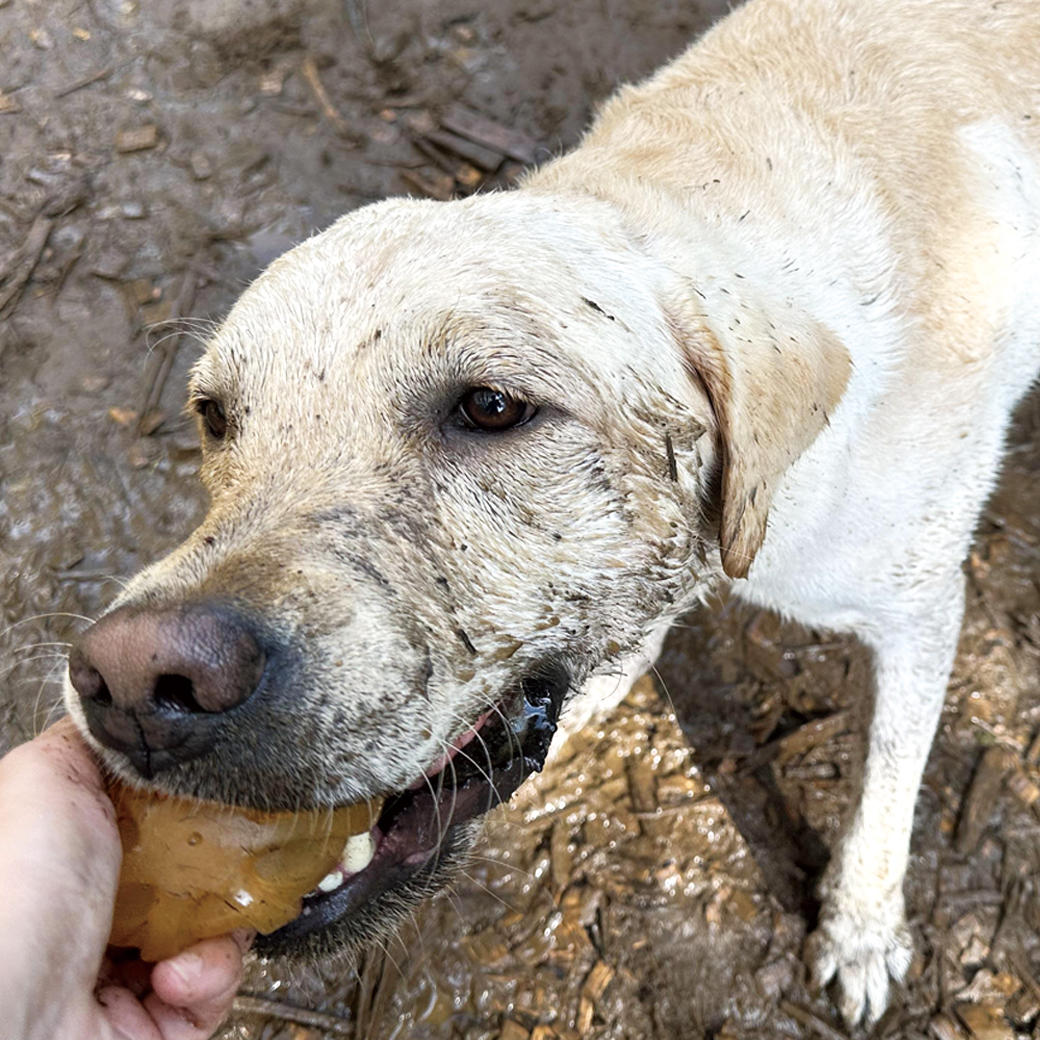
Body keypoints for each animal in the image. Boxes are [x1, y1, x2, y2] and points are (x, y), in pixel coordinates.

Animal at [67, 0, 1040, 1027]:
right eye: (214, 415)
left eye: (493, 407)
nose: (131, 685)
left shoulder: (919, 611)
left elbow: (885, 791)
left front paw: (861, 928)